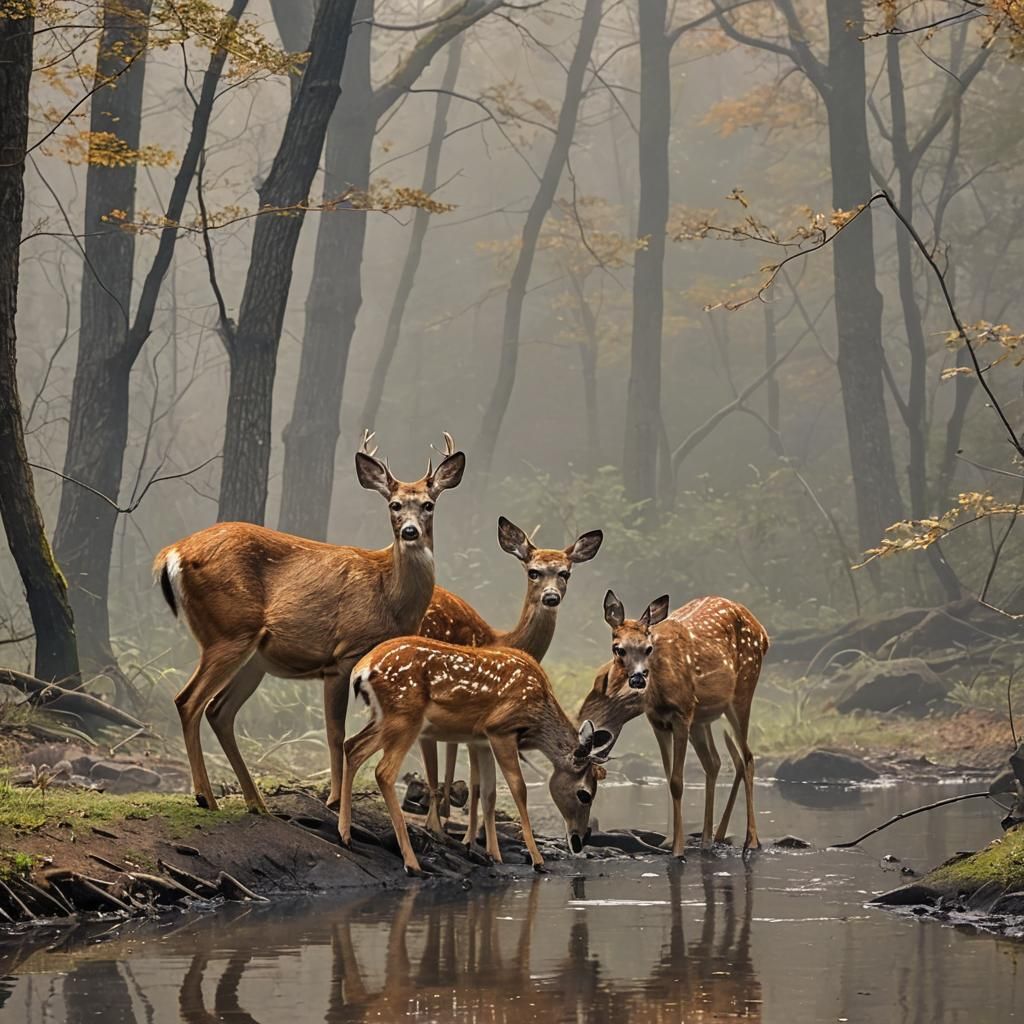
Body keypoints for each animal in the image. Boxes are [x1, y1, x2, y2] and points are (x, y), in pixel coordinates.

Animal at [153, 431, 465, 815]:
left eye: (428, 505)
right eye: (393, 504)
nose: (409, 532)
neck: (388, 594)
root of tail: (172, 553)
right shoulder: (343, 655)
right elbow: (335, 733)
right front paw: (334, 799)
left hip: (253, 657)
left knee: (219, 711)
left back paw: (256, 802)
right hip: (229, 631)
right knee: (188, 701)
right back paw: (206, 797)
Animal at [338, 637, 612, 874]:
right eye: (585, 794)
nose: (579, 840)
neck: (536, 716)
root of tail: (362, 669)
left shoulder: (482, 739)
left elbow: (489, 793)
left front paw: (494, 854)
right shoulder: (501, 730)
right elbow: (518, 788)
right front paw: (537, 860)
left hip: (385, 719)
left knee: (352, 746)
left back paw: (346, 835)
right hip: (405, 716)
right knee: (383, 770)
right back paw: (412, 863)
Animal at [417, 516, 603, 839]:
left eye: (565, 573)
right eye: (533, 572)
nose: (551, 597)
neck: (500, 640)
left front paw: (454, 818)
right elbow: (472, 774)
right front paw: (458, 829)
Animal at [578, 592, 768, 857]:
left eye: (648, 648)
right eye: (618, 649)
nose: (637, 678)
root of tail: (763, 633)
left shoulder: (682, 714)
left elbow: (678, 781)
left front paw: (678, 850)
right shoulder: (658, 721)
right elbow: (669, 779)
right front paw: (670, 842)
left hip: (742, 692)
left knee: (748, 757)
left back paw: (751, 841)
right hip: (703, 717)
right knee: (715, 762)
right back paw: (709, 839)